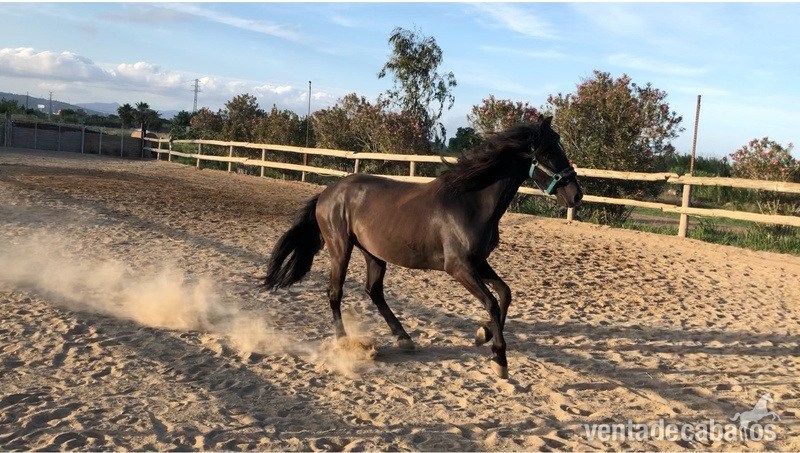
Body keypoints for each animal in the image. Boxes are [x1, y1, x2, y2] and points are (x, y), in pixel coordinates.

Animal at [263, 116, 582, 379]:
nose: (576, 195)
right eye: (548, 153)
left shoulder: (478, 262)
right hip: (340, 247)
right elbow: (492, 302)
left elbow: (505, 294)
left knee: (373, 290)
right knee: (335, 292)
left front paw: (483, 335)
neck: (472, 202)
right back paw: (345, 341)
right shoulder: (458, 267)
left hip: (373, 253)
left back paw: (404, 338)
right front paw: (499, 361)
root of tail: (327, 193)